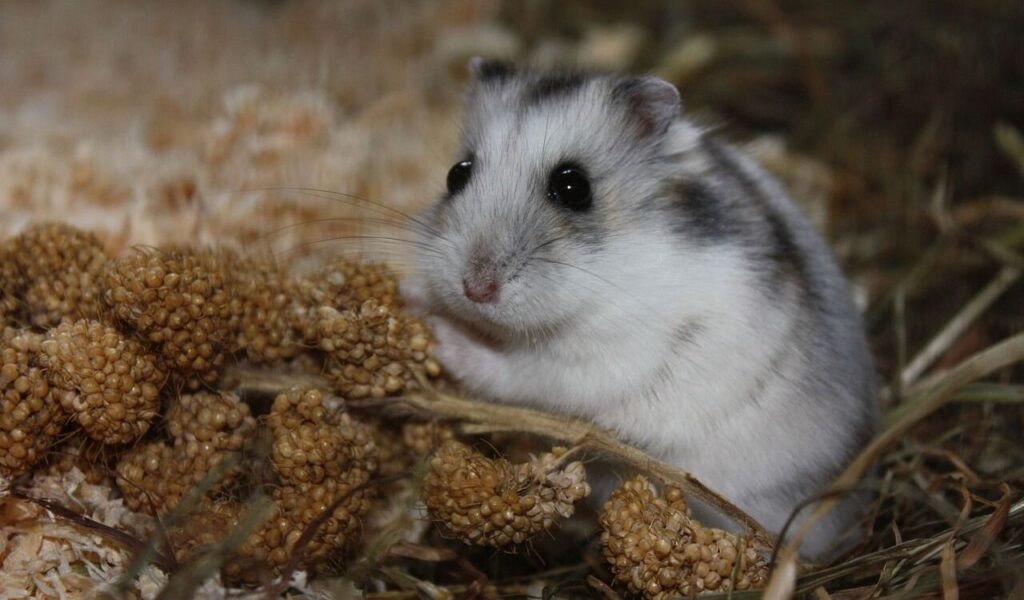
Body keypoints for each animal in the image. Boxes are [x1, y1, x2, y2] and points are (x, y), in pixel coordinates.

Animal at [405, 60, 878, 561]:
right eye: (456, 174)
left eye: (573, 186)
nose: (475, 289)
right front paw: (412, 294)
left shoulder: (600, 361)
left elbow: (514, 372)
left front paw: (440, 333)